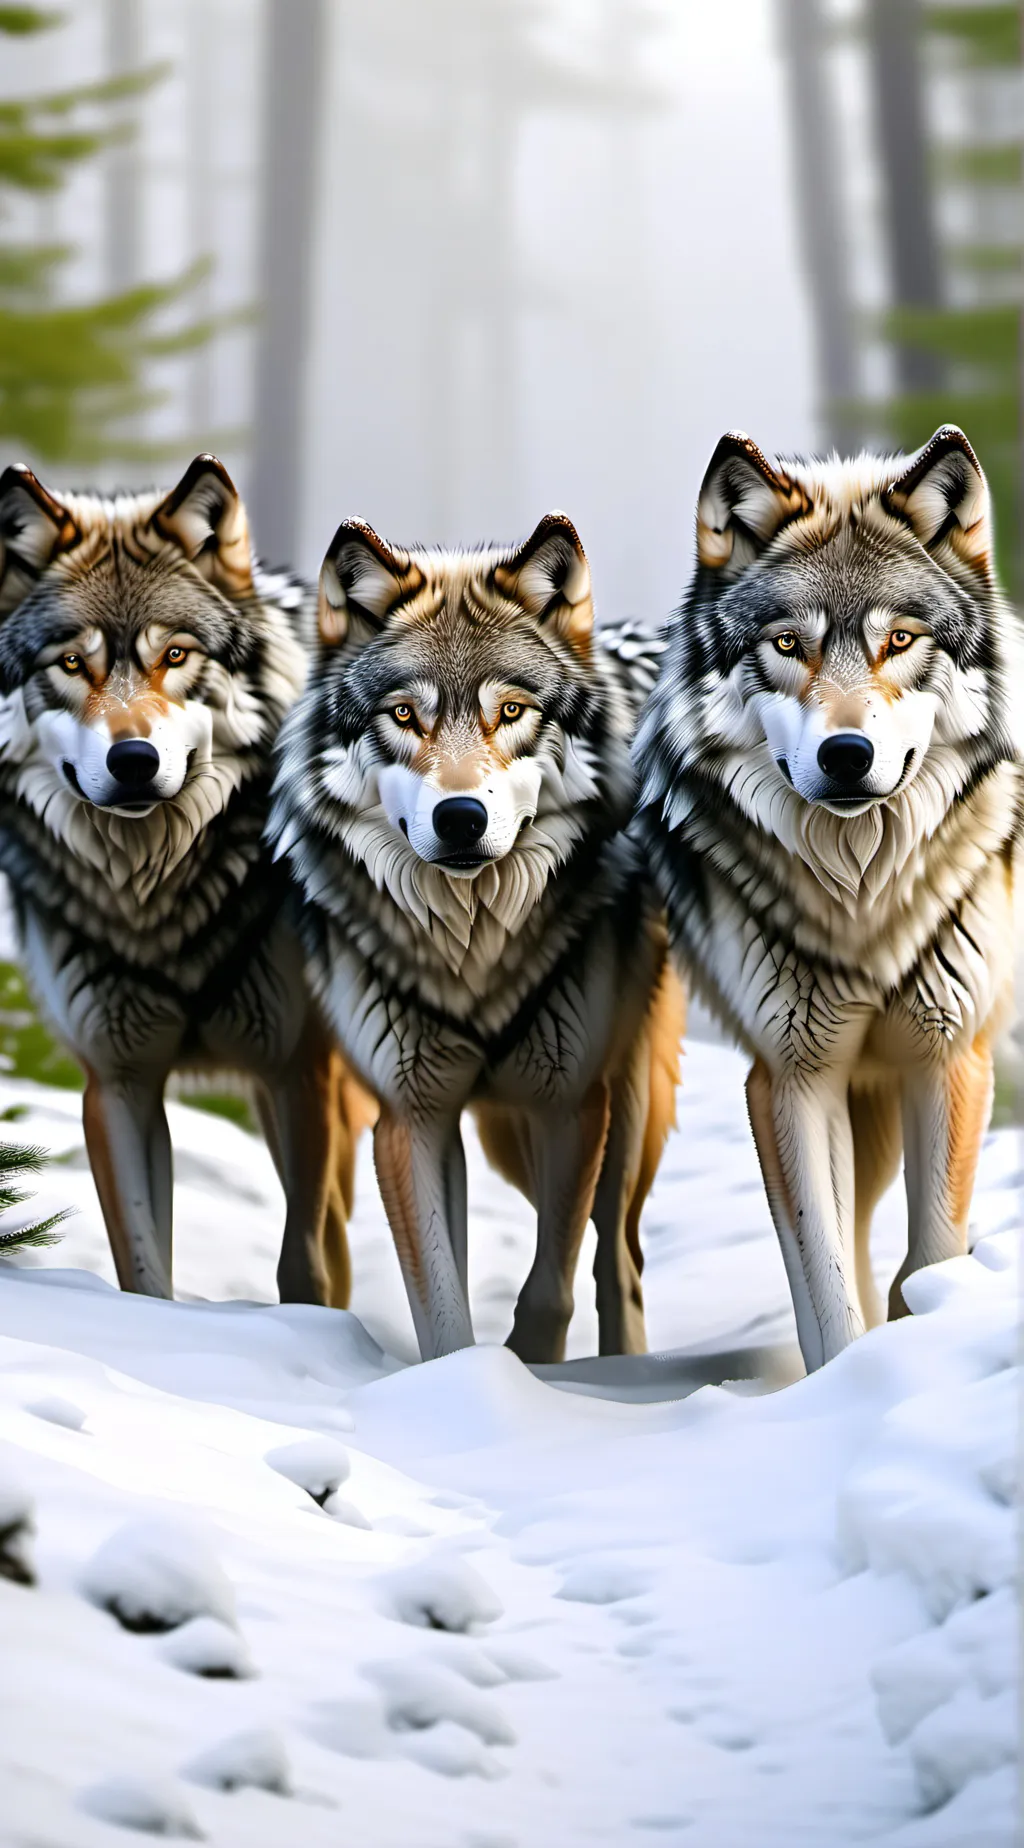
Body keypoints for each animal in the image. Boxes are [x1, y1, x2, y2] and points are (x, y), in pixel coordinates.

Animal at [0, 455, 371, 1302]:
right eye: (72, 663)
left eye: (175, 656)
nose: (133, 761)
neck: (156, 894)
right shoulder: (118, 1082)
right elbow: (141, 1266)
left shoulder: (300, 1073)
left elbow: (307, 1259)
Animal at [269, 511, 682, 1362]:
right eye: (404, 716)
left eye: (512, 711)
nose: (460, 818)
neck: (473, 954)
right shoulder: (410, 1119)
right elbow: (440, 1299)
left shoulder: (571, 1107)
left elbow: (551, 1288)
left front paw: (528, 1375)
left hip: (620, 1111)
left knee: (619, 1254)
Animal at [635, 425, 1023, 1371]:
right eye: (788, 645)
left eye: (900, 640)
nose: (847, 755)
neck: (864, 901)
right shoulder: (790, 1079)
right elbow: (824, 1274)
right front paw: (848, 1378)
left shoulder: (948, 1059)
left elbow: (933, 1253)